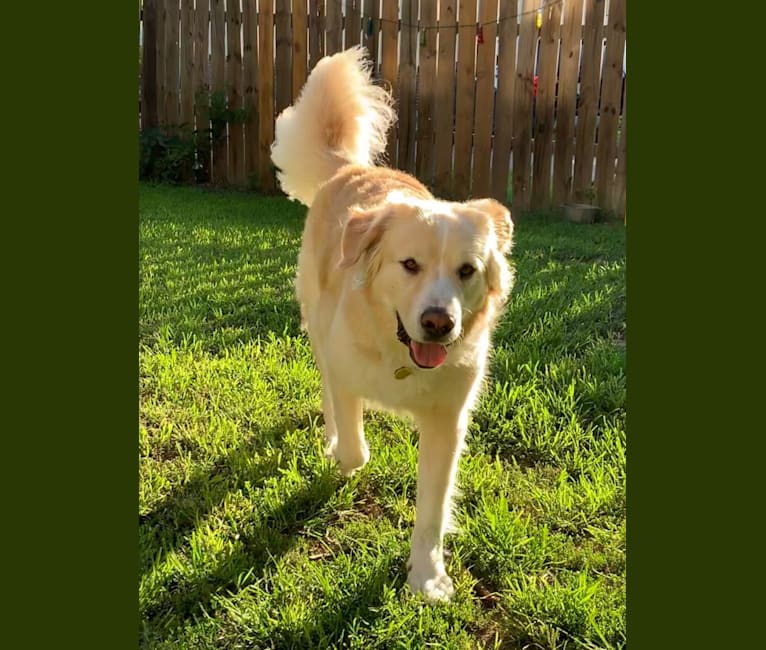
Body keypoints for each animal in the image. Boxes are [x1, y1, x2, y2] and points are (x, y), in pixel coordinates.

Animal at [270, 46, 516, 604]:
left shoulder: (447, 422)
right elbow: (355, 449)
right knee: (326, 387)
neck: (398, 354)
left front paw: (426, 575)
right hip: (316, 327)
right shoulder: (346, 373)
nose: (438, 324)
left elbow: (432, 512)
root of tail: (352, 168)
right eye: (410, 265)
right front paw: (339, 451)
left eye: (466, 271)